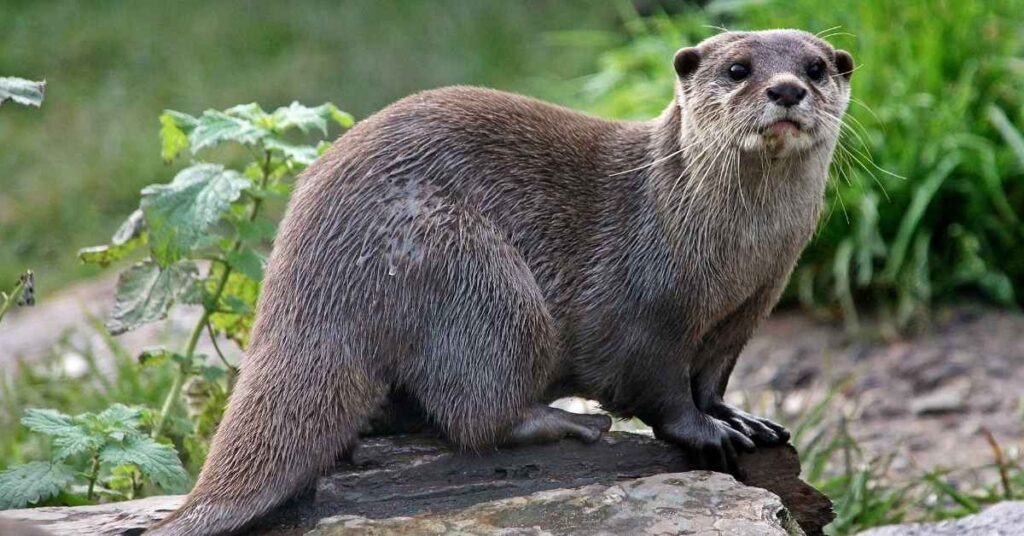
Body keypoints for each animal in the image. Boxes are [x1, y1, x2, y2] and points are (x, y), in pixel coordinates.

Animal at [149, 30, 856, 536]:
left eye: (816, 67)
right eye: (737, 69)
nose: (787, 90)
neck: (730, 250)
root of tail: (305, 271)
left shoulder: (749, 308)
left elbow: (711, 378)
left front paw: (740, 418)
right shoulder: (646, 309)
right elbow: (659, 387)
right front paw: (706, 433)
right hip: (472, 276)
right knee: (474, 414)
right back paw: (563, 424)